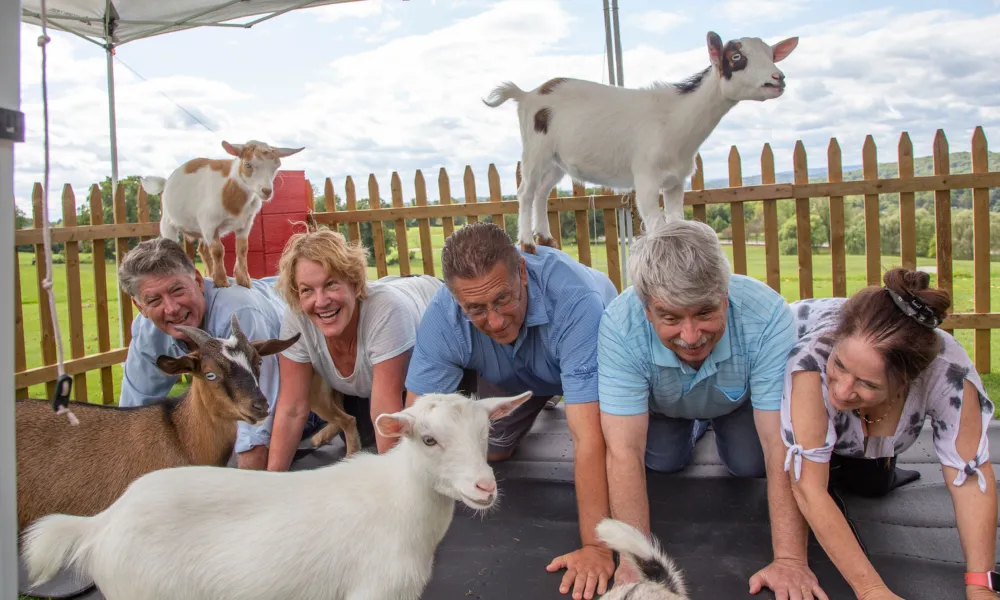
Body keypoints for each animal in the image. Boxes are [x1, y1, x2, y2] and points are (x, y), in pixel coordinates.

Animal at [21, 390, 532, 600]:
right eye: (428, 439)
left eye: (486, 432)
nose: (484, 486)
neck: (399, 502)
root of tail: (101, 522)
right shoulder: (373, 590)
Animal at [141, 142, 302, 290]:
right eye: (248, 164)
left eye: (276, 166)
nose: (266, 191)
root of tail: (166, 182)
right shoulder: (209, 224)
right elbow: (218, 250)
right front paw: (222, 281)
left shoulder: (245, 224)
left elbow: (242, 248)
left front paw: (243, 280)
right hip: (168, 223)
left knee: (203, 250)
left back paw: (209, 274)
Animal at [484, 29, 796, 251]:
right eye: (736, 58)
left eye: (771, 54)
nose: (777, 79)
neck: (675, 120)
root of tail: (526, 95)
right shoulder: (646, 177)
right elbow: (658, 226)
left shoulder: (675, 182)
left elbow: (676, 221)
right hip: (535, 150)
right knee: (525, 191)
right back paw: (527, 243)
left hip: (556, 160)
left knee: (542, 192)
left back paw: (546, 239)